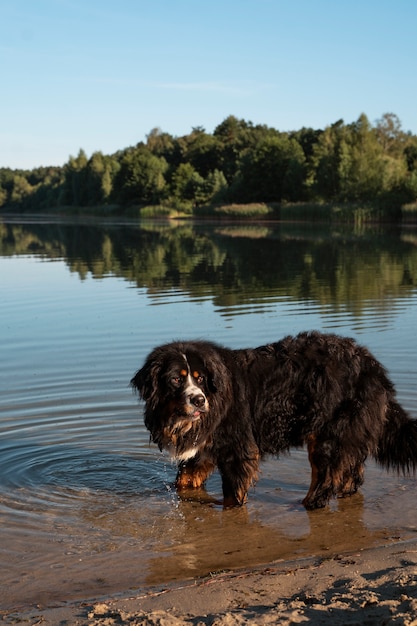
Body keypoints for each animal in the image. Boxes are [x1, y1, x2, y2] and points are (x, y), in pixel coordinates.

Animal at [130, 332, 416, 508]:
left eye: (200, 379)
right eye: (176, 379)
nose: (199, 400)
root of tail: (371, 366)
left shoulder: (237, 448)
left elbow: (232, 494)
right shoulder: (204, 449)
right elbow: (184, 480)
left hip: (329, 433)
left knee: (325, 478)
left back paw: (307, 504)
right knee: (351, 476)